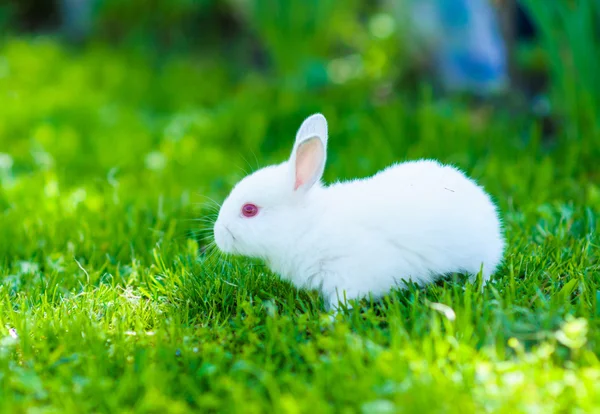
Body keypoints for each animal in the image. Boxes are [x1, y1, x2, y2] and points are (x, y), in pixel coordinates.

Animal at [213, 113, 504, 310]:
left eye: (249, 210)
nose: (218, 234)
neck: (306, 226)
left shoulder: (349, 274)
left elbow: (343, 301)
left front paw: (329, 321)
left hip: (480, 256)